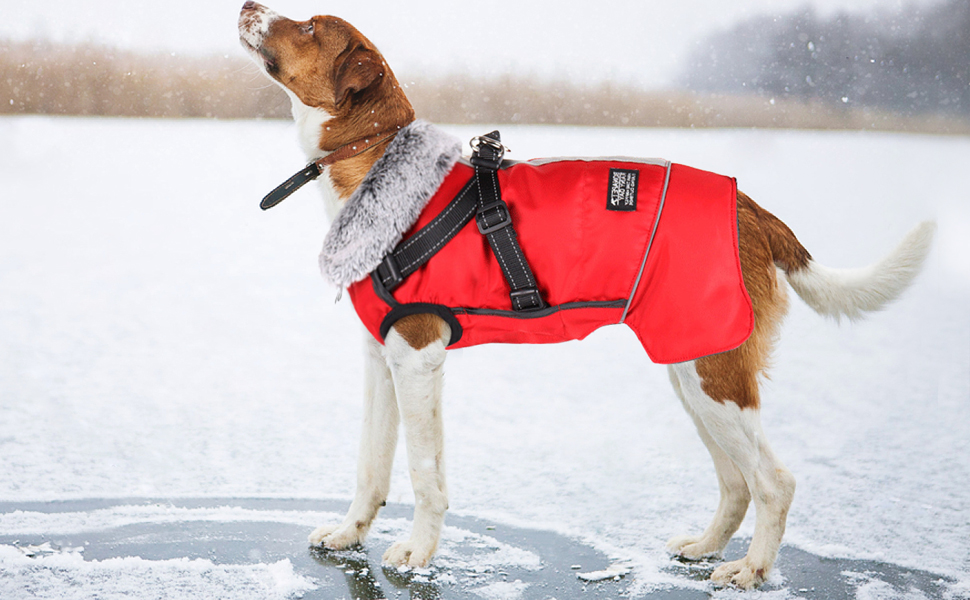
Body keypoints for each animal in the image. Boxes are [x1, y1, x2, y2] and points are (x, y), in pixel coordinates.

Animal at [236, 2, 932, 588]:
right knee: (737, 481)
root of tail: (752, 208)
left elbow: (424, 473)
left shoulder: (417, 355)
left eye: (306, 28)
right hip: (693, 367)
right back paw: (706, 547)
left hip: (714, 375)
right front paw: (350, 533)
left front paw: (417, 552)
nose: (247, 5)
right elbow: (370, 465)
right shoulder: (381, 358)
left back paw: (749, 570)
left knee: (774, 481)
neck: (376, 168)